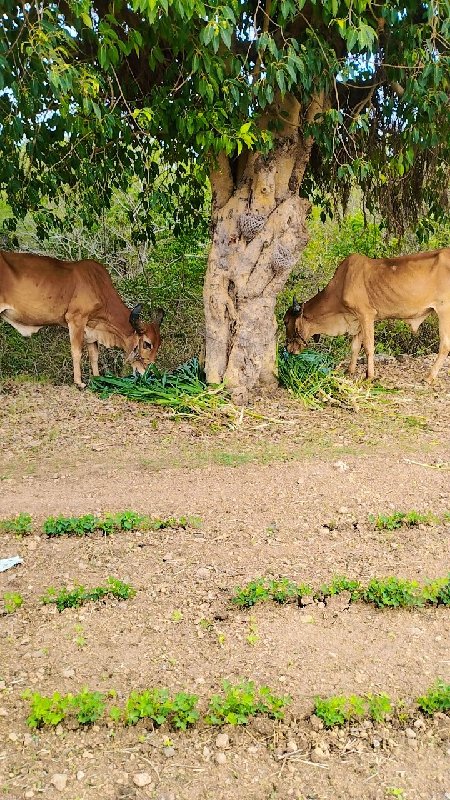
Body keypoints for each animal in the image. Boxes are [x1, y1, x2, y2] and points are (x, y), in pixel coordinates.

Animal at [0, 250, 165, 388]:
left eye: (159, 344)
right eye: (147, 344)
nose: (150, 372)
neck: (98, 286)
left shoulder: (91, 328)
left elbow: (94, 355)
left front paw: (98, 379)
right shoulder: (76, 320)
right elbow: (77, 351)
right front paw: (79, 383)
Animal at [284, 248, 450, 382]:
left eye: (286, 321)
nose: (288, 349)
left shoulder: (366, 315)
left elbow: (369, 347)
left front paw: (370, 376)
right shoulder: (357, 320)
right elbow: (355, 346)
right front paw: (349, 371)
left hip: (444, 311)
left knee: (445, 345)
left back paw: (429, 377)